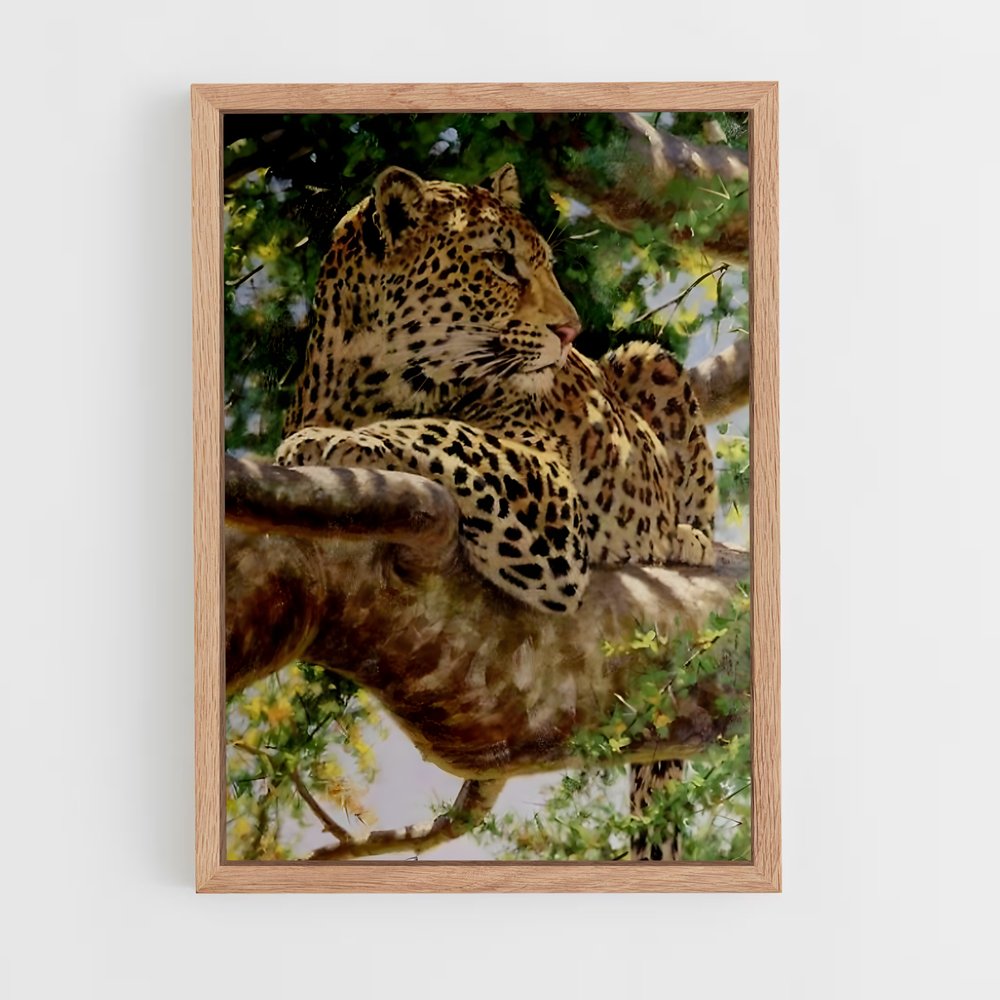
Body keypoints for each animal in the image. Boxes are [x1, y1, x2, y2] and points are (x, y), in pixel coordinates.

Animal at [276, 163, 717, 619]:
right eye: (501, 261)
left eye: (547, 265)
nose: (571, 331)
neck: (371, 383)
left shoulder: (551, 490)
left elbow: (445, 430)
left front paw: (327, 439)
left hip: (649, 359)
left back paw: (687, 538)